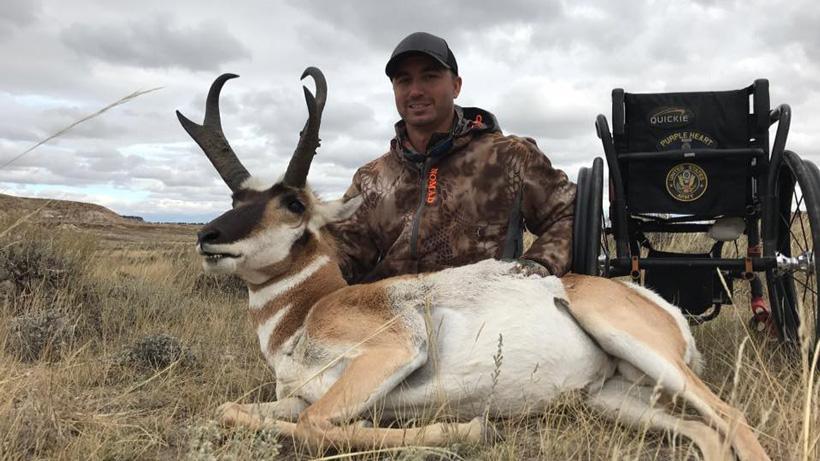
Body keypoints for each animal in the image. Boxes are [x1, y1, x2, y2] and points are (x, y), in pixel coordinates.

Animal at [177, 68, 770, 460]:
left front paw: (470, 431)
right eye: (235, 199)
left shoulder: (391, 352)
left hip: (640, 349)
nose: (208, 236)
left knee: (734, 418)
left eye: (293, 204)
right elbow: (232, 410)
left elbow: (317, 425)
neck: (305, 314)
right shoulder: (292, 399)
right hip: (614, 394)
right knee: (708, 434)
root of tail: (658, 305)